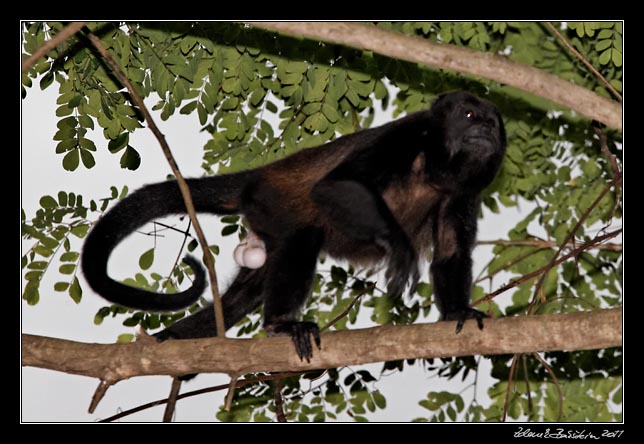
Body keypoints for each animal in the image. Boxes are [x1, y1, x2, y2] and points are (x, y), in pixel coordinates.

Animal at [80, 92, 506, 362]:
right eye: (469, 116)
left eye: (493, 122)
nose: (486, 130)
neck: (436, 166)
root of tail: (258, 177)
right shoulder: (402, 138)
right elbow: (335, 186)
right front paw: (401, 251)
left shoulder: (463, 191)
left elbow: (451, 250)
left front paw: (456, 310)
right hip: (272, 203)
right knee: (304, 235)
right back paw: (281, 324)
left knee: (240, 298)